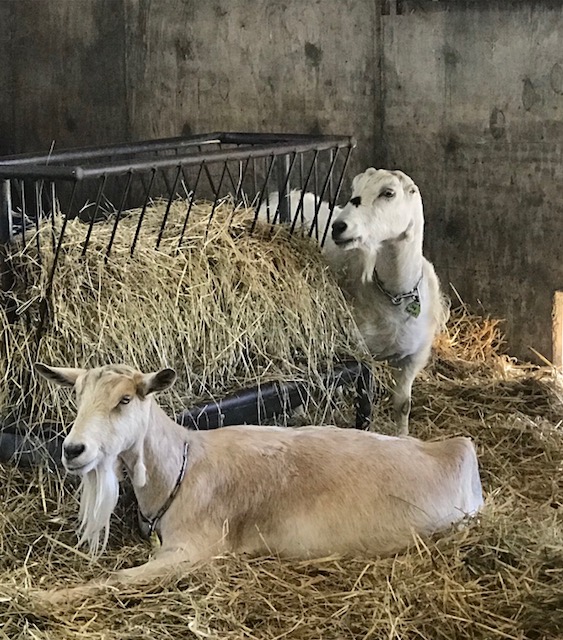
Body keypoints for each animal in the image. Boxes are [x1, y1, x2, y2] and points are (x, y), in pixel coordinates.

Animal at [35, 362, 482, 597]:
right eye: (77, 397)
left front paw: (41, 595)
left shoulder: (196, 549)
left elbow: (116, 578)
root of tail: (456, 450)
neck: (183, 465)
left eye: (125, 400)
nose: (72, 449)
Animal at [260, 169, 449, 434]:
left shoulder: (415, 356)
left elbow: (403, 405)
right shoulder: (361, 351)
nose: (338, 226)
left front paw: (403, 436)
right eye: (354, 190)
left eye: (388, 193)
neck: (395, 293)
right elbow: (364, 400)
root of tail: (287, 195)